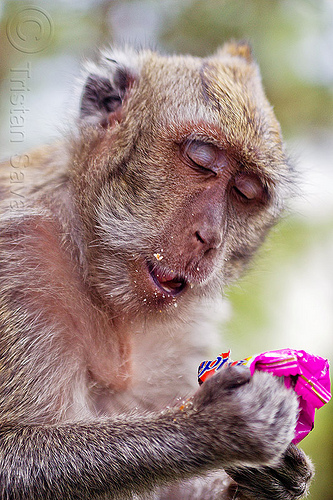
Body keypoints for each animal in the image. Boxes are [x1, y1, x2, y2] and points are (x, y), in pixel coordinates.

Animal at [0, 41, 312, 498]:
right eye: (201, 159)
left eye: (245, 192)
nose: (209, 237)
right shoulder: (18, 256)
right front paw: (213, 424)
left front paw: (273, 480)